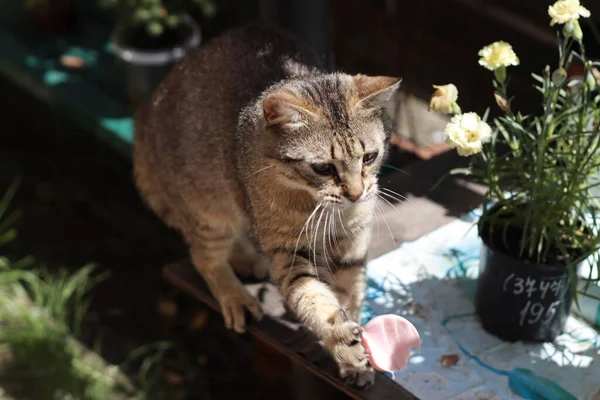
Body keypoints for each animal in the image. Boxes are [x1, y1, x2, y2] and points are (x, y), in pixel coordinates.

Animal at [134, 22, 400, 388]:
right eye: (323, 168)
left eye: (370, 158)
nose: (357, 194)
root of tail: (149, 108)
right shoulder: (288, 254)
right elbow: (316, 301)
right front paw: (343, 345)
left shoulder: (354, 245)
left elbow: (351, 294)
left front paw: (358, 363)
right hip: (210, 210)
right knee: (204, 257)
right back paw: (235, 295)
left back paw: (245, 258)